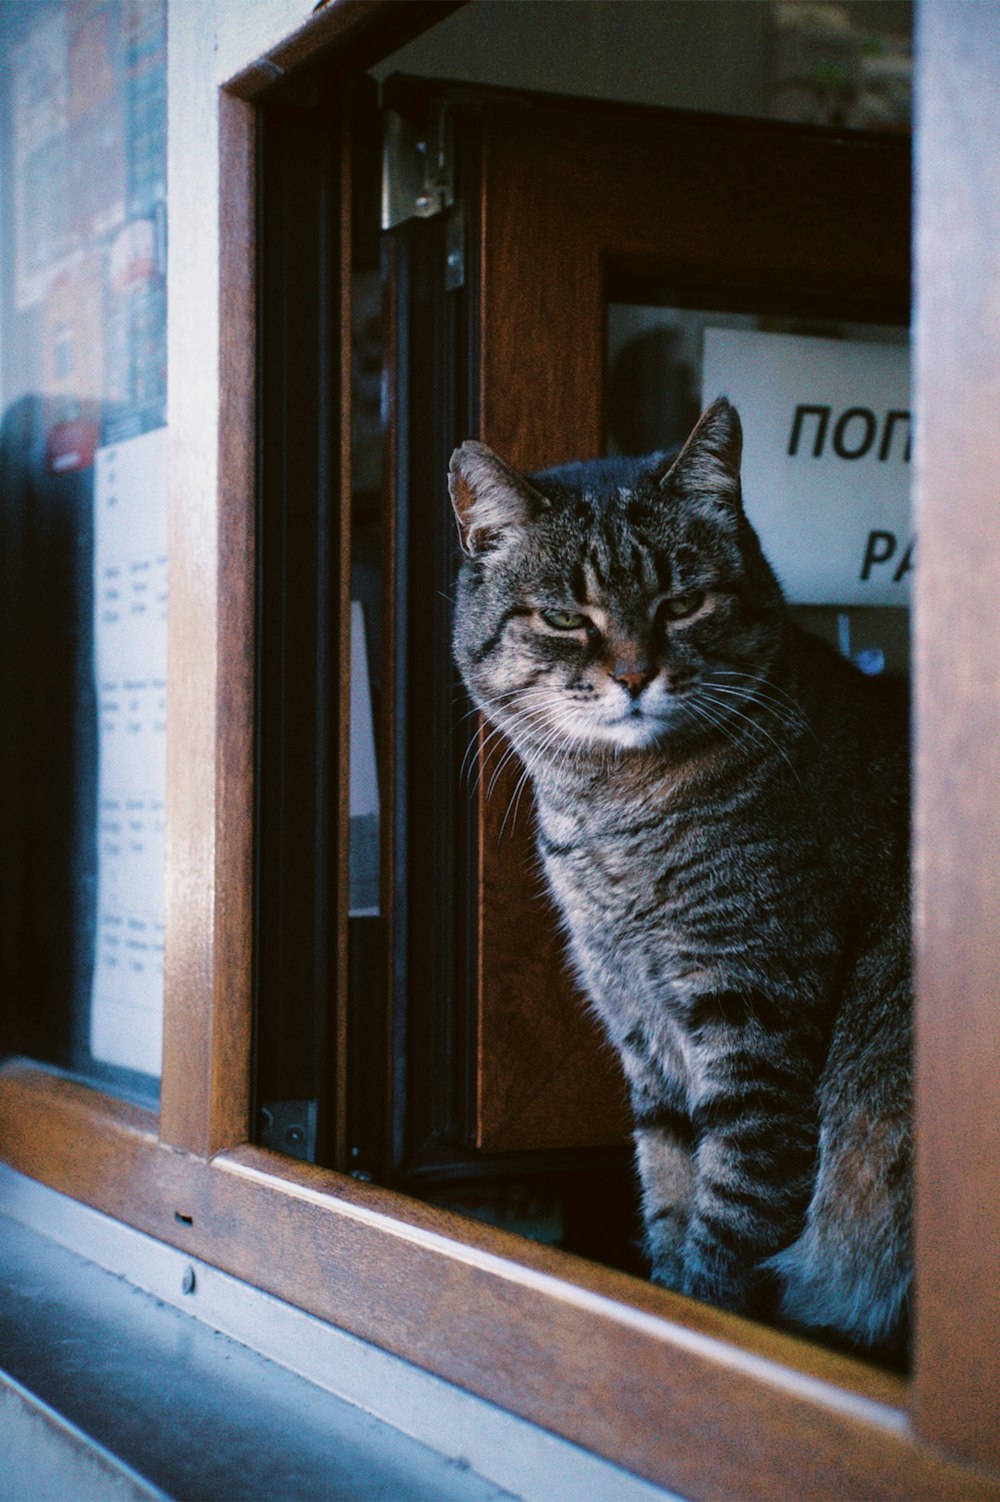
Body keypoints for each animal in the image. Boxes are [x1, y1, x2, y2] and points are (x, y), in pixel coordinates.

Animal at [447, 396, 906, 1351]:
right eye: (564, 617)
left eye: (684, 602)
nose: (633, 674)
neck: (613, 817)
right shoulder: (641, 1031)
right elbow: (669, 1187)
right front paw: (664, 1306)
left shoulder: (757, 1018)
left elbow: (731, 1216)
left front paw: (704, 1324)